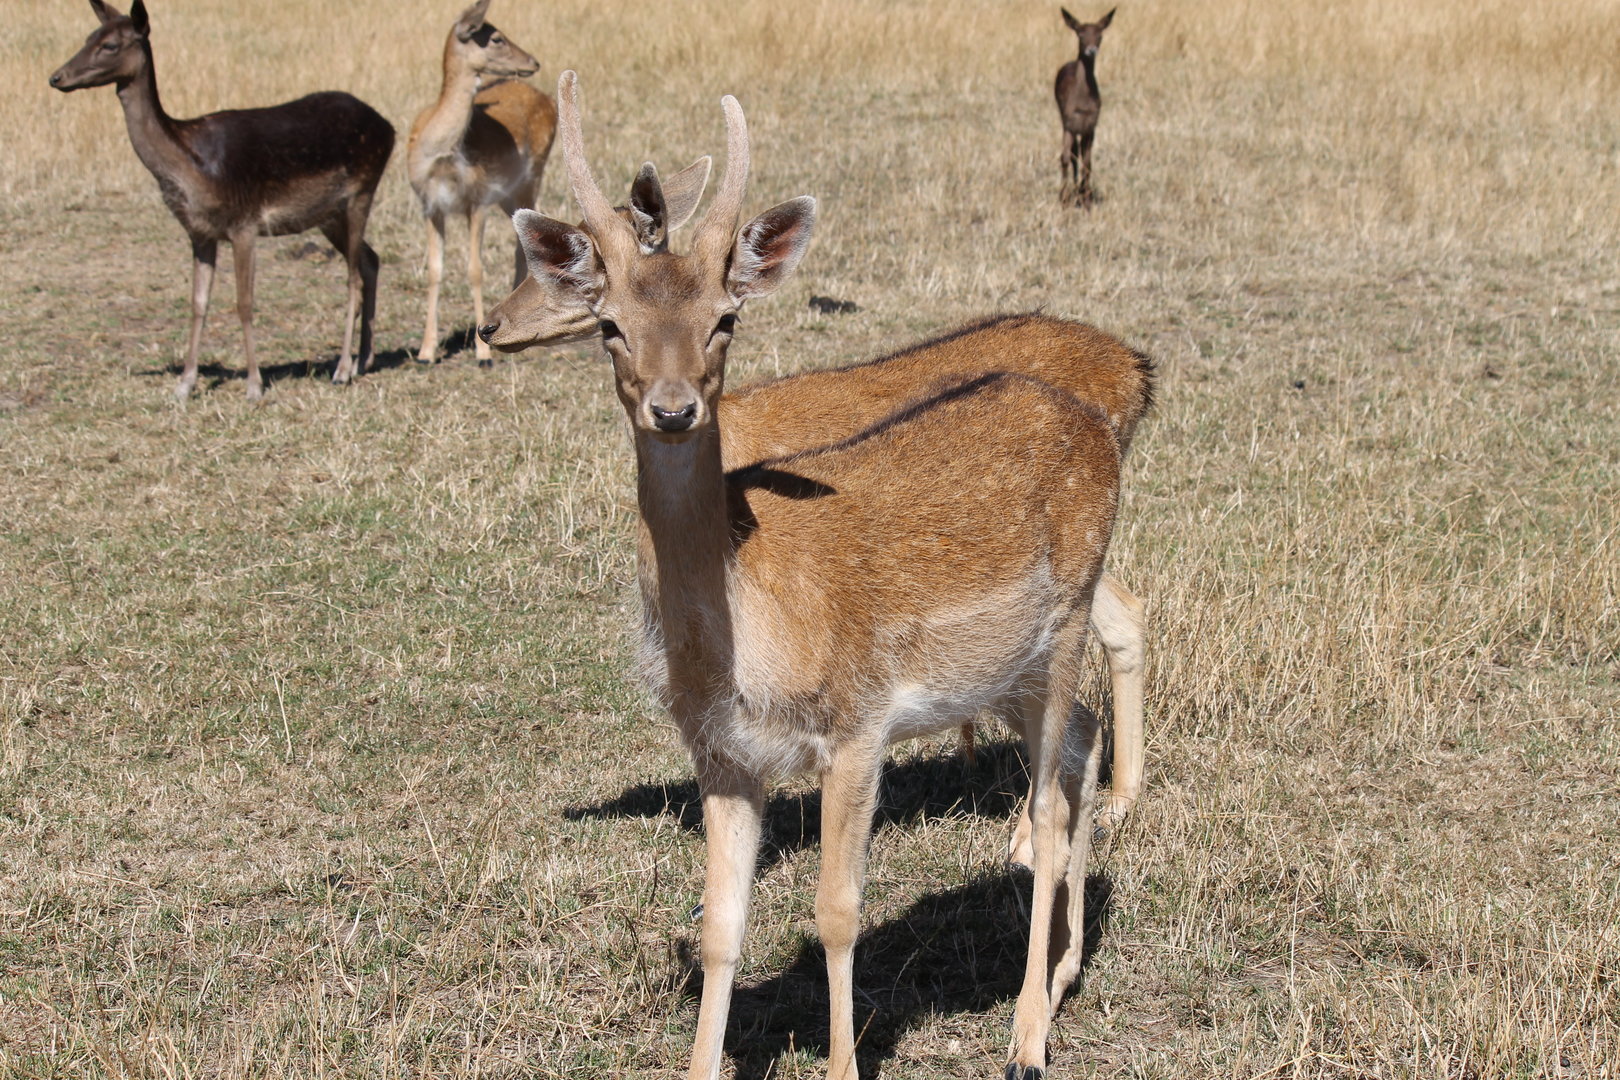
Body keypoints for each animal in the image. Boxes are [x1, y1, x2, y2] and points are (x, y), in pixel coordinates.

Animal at [49, 0, 394, 401]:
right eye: (88, 36)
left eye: (110, 45)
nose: (56, 77)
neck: (192, 168)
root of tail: (390, 127)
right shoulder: (199, 233)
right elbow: (198, 303)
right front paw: (184, 384)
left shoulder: (245, 223)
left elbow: (244, 303)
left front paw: (254, 385)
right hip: (329, 215)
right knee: (371, 259)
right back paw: (365, 359)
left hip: (362, 191)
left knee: (353, 275)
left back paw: (342, 369)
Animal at [407, 0, 556, 367]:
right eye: (495, 37)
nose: (532, 61)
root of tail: (548, 98)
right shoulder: (430, 206)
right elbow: (434, 269)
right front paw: (426, 351)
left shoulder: (477, 202)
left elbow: (475, 269)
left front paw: (483, 354)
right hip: (508, 196)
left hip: (532, 177)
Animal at [1055, 7, 1115, 209]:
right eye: (1080, 34)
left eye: (1100, 35)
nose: (1091, 50)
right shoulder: (1069, 123)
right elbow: (1065, 157)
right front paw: (1064, 198)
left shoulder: (1091, 125)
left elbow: (1087, 162)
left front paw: (1087, 197)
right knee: (1073, 153)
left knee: (1080, 154)